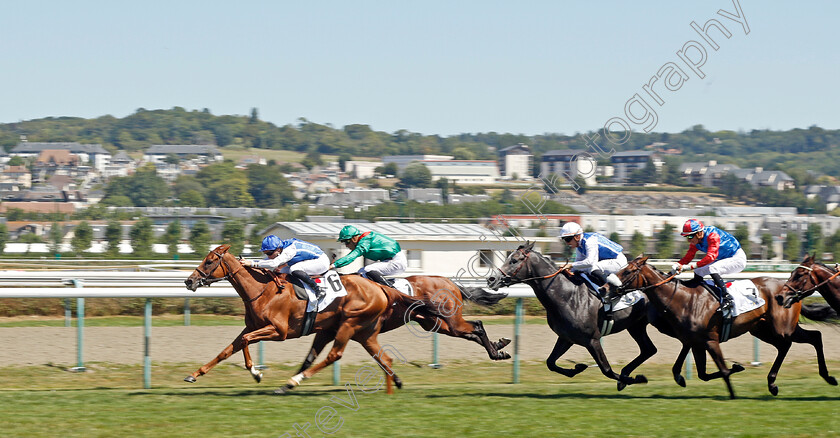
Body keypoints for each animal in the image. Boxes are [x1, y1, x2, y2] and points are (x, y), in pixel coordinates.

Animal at [184, 245, 446, 396]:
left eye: (209, 261)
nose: (189, 281)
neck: (263, 290)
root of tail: (380, 287)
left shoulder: (278, 331)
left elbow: (247, 342)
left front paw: (256, 373)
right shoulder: (253, 327)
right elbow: (227, 350)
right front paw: (194, 375)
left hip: (348, 324)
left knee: (334, 355)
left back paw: (293, 381)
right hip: (361, 331)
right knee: (382, 357)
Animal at [298, 274, 516, 372]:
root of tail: (450, 282)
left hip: (450, 320)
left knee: (477, 325)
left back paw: (496, 352)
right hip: (438, 324)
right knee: (471, 332)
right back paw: (499, 348)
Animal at [616, 255, 832, 398]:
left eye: (627, 271)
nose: (609, 286)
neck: (683, 298)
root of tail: (789, 290)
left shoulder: (710, 340)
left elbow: (723, 370)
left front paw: (733, 392)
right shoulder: (695, 342)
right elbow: (701, 373)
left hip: (781, 328)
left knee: (788, 344)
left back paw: (774, 382)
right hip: (764, 329)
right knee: (814, 337)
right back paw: (824, 378)